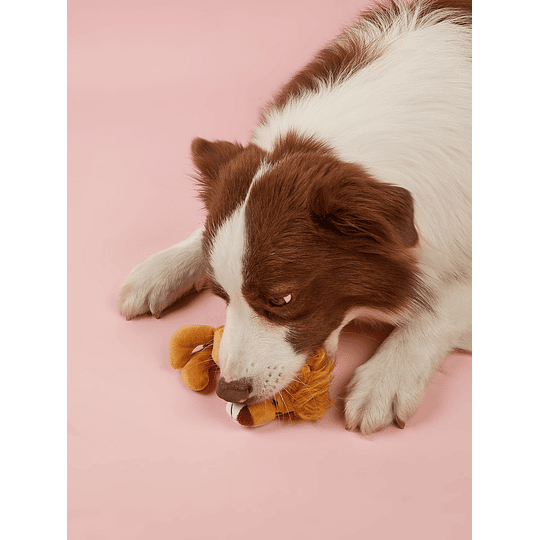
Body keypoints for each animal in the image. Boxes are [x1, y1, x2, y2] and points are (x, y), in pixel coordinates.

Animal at [117, 0, 468, 434]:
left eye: (281, 299)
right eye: (220, 295)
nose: (228, 391)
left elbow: (443, 304)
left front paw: (387, 376)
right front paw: (162, 268)